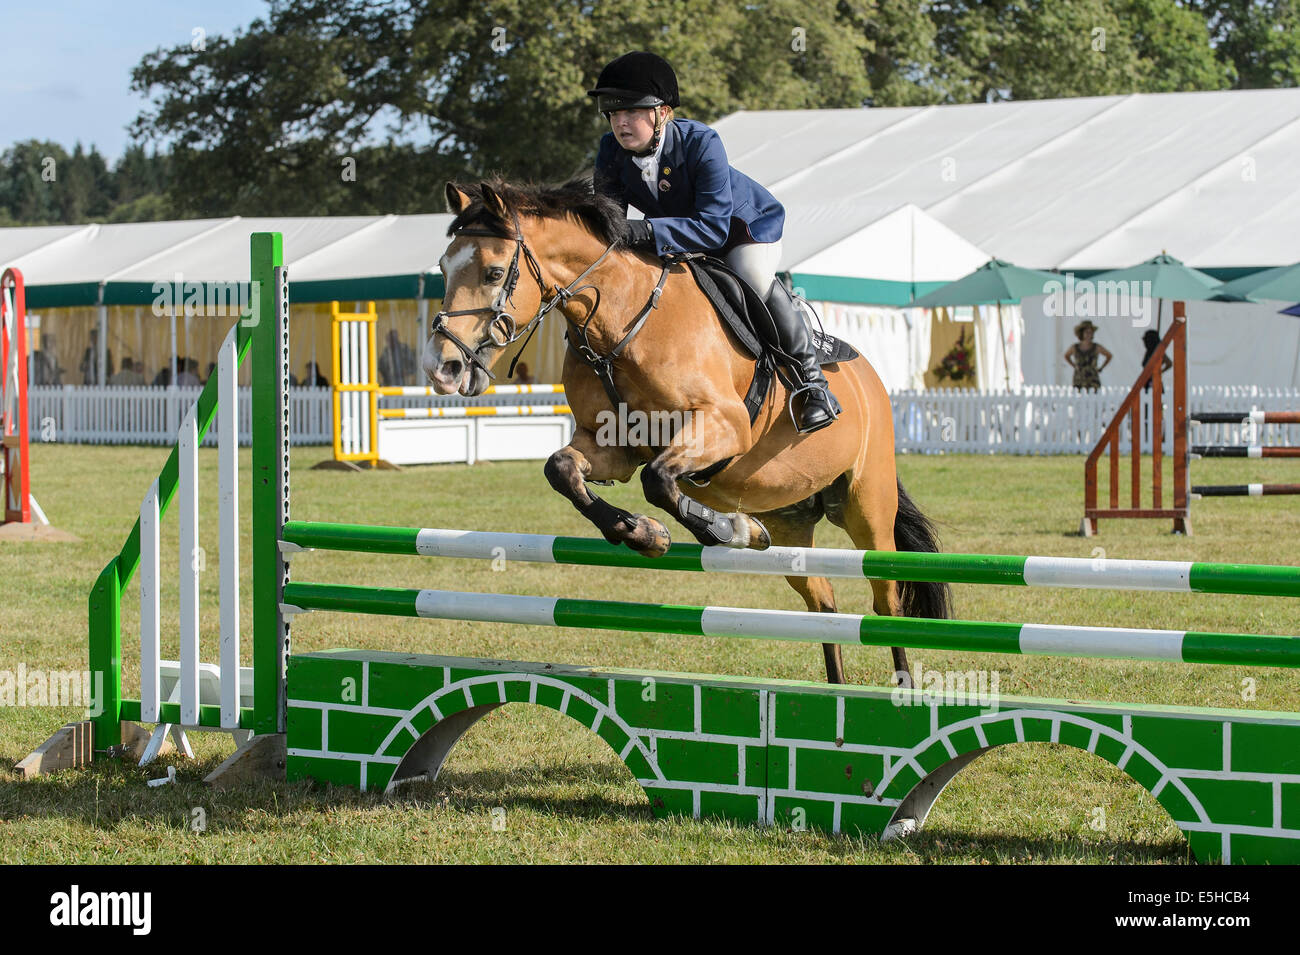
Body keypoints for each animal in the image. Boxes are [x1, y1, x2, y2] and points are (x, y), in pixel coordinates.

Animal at [421, 179, 951, 686]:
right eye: (444, 269)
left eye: (493, 273)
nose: (441, 368)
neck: (622, 324)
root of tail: (871, 379)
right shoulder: (612, 443)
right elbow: (564, 469)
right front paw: (642, 533)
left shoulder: (723, 425)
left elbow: (658, 480)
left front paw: (728, 530)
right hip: (791, 515)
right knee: (822, 601)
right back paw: (836, 689)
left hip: (867, 505)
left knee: (886, 599)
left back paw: (900, 688)